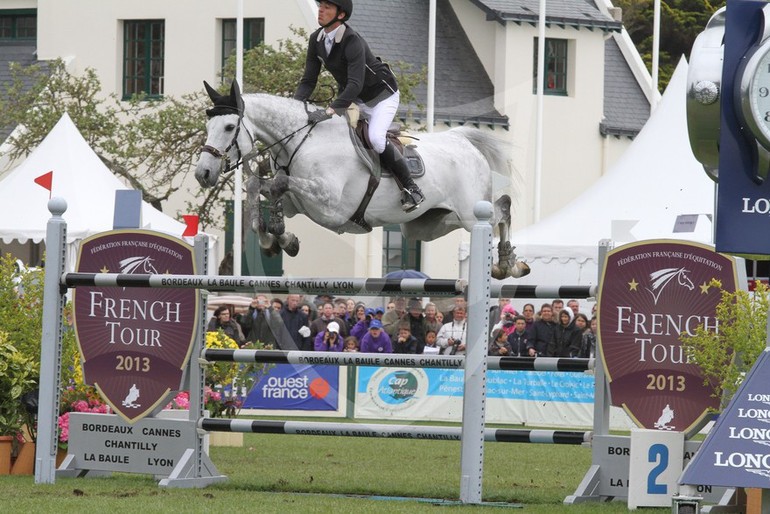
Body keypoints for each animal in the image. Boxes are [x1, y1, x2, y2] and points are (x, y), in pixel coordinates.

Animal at [194, 81, 528, 280]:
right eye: (208, 126)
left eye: (228, 127)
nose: (203, 174)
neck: (303, 140)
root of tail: (461, 140)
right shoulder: (296, 204)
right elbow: (260, 187)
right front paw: (276, 238)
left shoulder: (330, 205)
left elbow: (278, 185)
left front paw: (277, 235)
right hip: (425, 225)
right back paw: (502, 264)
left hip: (471, 212)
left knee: (502, 210)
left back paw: (507, 263)